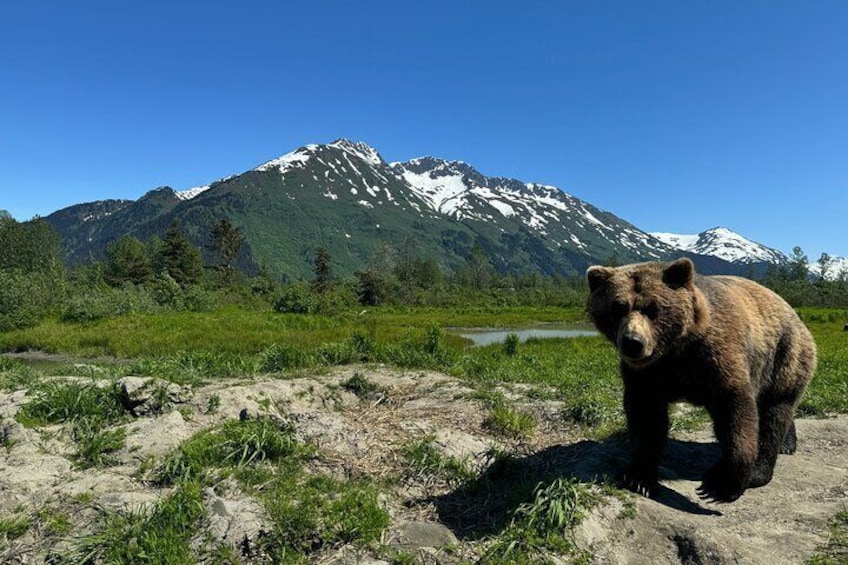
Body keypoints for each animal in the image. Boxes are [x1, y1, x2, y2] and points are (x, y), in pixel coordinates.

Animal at [588, 258, 816, 500]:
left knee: (775, 412)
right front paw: (639, 477)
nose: (633, 342)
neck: (676, 350)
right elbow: (646, 417)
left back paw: (761, 468)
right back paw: (787, 444)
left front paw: (722, 483)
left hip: (784, 356)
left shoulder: (716, 356)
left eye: (653, 308)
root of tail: (794, 313)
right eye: (617, 307)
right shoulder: (648, 373)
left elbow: (736, 411)